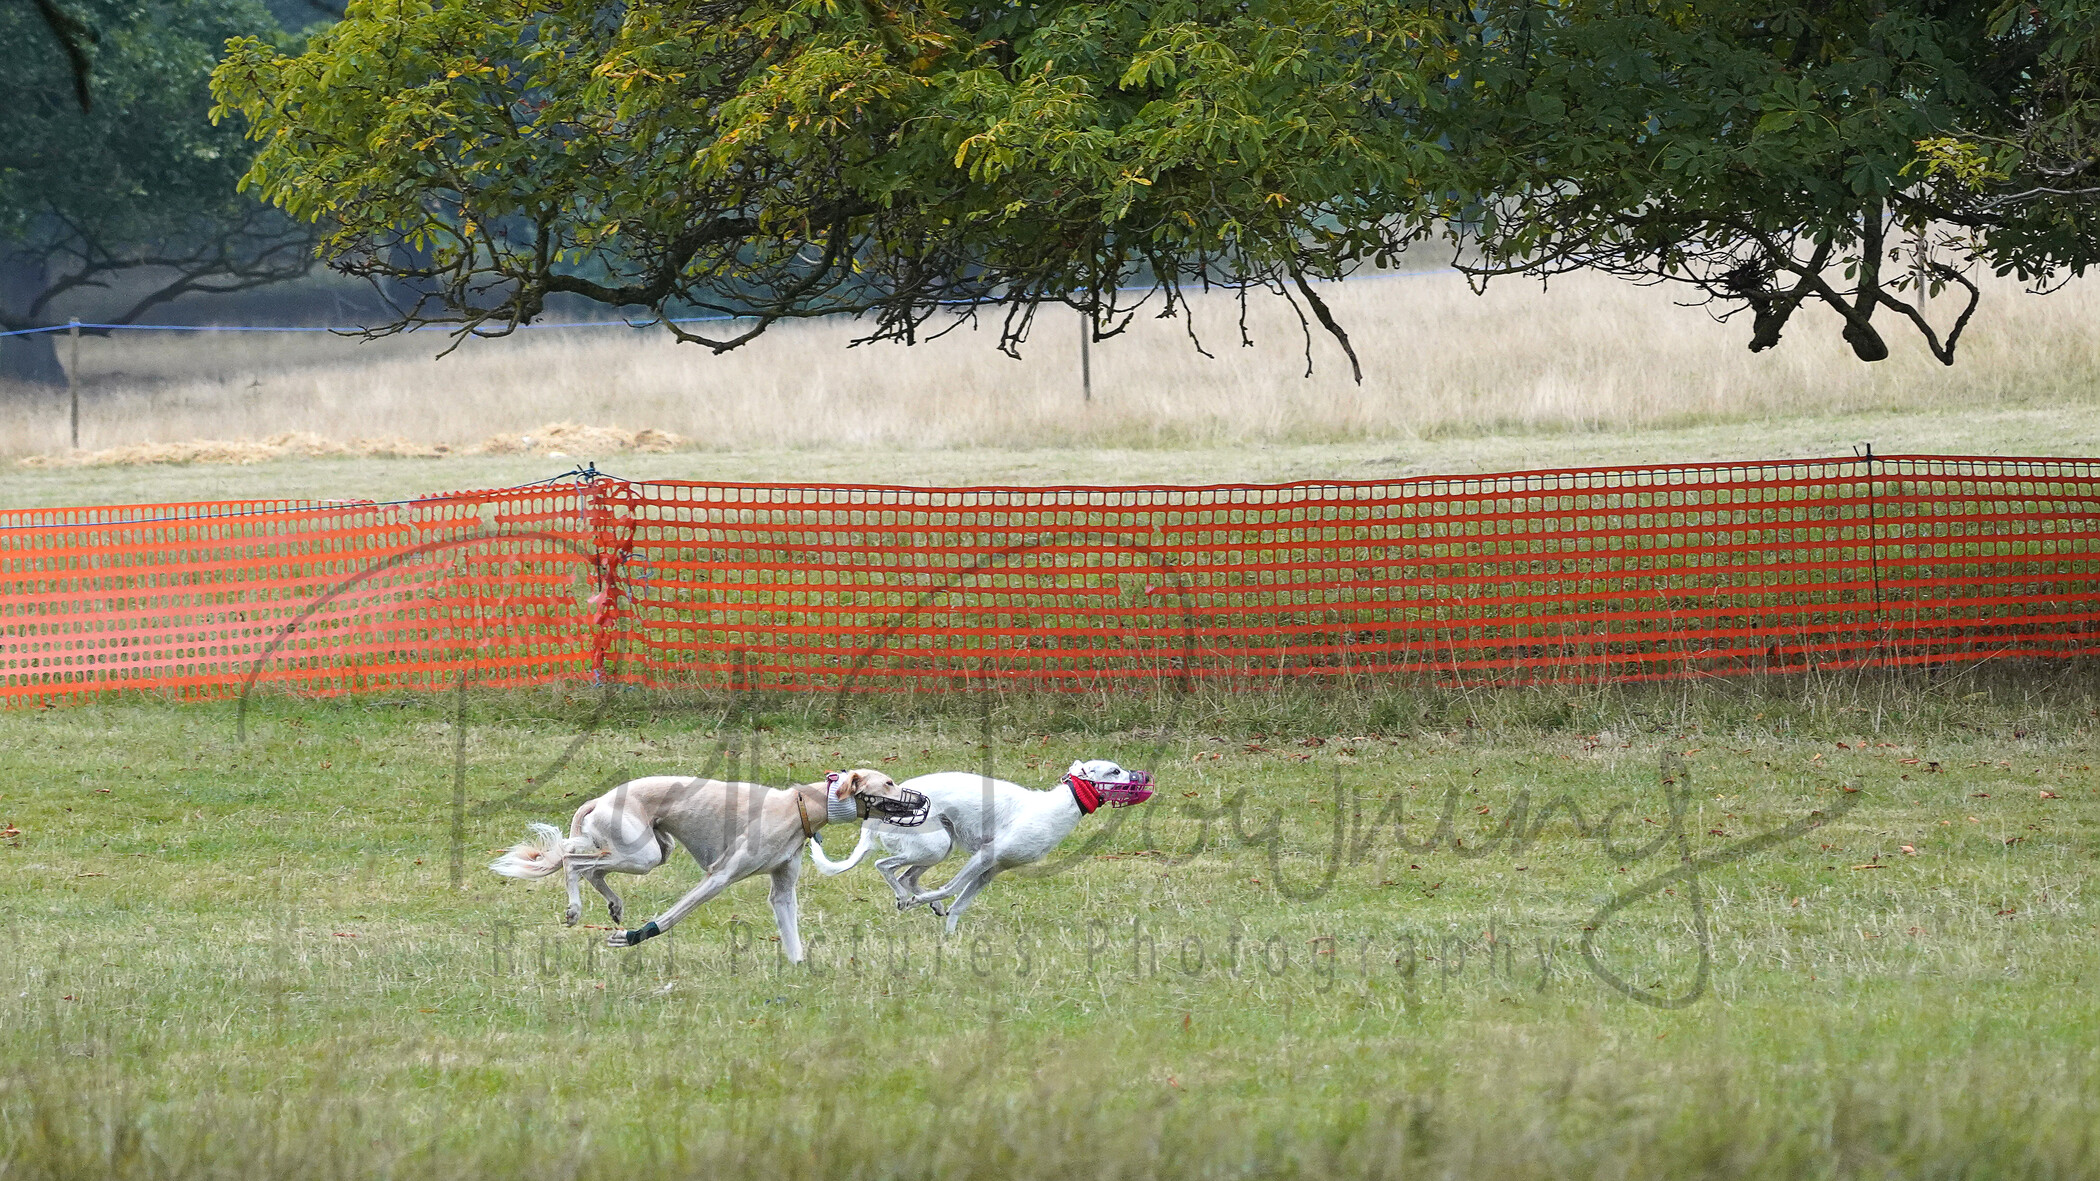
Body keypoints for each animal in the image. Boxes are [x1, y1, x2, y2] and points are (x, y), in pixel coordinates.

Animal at [489, 764, 928, 958]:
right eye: (889, 783)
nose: (921, 800)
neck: (800, 805)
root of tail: (601, 797)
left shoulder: (782, 890)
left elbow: (791, 934)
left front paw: (801, 972)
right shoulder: (719, 876)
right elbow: (671, 918)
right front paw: (634, 937)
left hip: (654, 850)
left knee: (592, 865)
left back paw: (612, 904)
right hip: (642, 854)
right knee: (575, 861)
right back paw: (575, 908)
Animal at [806, 756, 1167, 933]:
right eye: (1115, 770)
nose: (1147, 779)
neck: (1057, 807)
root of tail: (872, 814)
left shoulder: (992, 870)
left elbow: (959, 903)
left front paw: (949, 934)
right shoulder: (984, 856)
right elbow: (951, 888)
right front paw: (925, 904)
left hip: (941, 846)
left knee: (908, 875)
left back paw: (921, 901)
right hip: (933, 844)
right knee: (886, 866)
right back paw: (906, 898)